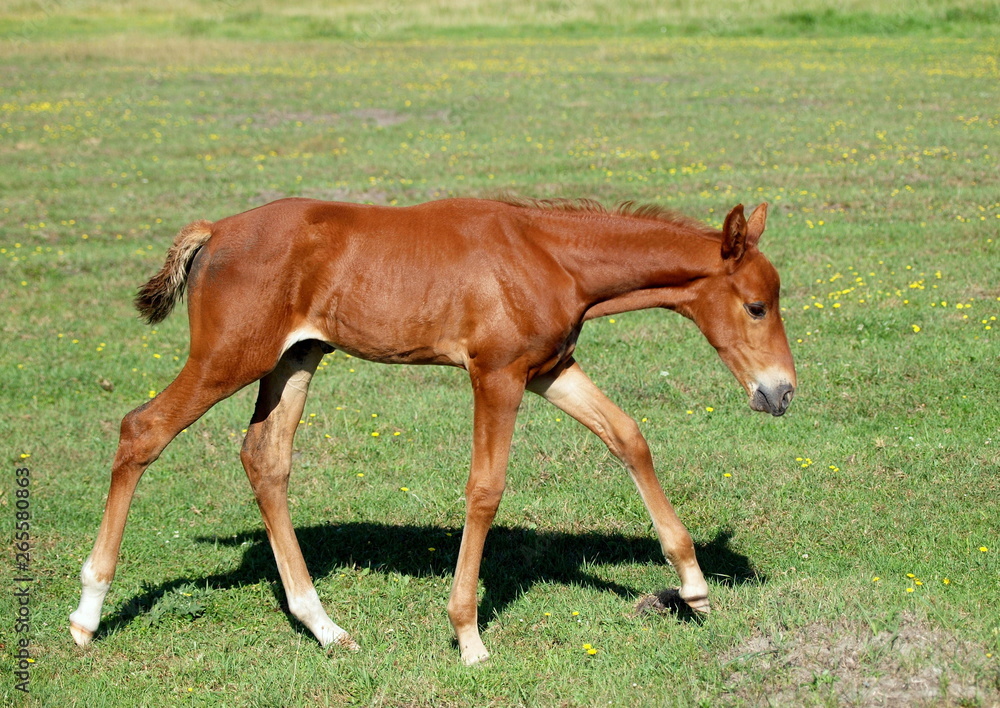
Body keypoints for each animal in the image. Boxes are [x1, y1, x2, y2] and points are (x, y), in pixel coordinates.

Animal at [70, 195, 796, 665]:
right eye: (756, 306)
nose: (781, 392)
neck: (548, 255)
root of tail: (215, 230)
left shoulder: (548, 370)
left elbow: (628, 436)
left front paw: (694, 588)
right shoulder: (496, 375)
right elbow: (485, 490)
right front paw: (469, 637)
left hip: (294, 358)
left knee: (264, 459)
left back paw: (325, 627)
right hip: (229, 358)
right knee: (142, 430)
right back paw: (86, 615)